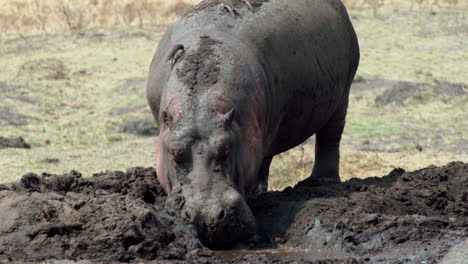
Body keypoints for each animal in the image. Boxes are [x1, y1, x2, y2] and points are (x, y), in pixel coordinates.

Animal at [148, 0, 360, 248]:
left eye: (226, 148)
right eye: (174, 152)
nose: (205, 217)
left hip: (342, 95)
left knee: (330, 138)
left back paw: (320, 181)